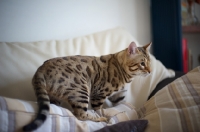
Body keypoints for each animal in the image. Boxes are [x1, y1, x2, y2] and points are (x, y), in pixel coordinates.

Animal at [23, 41, 152, 131]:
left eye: (150, 63)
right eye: (142, 64)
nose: (150, 71)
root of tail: (40, 69)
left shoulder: (119, 95)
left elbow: (122, 105)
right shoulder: (98, 94)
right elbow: (98, 109)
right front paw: (103, 117)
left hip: (56, 96)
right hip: (81, 90)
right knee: (80, 114)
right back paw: (100, 119)